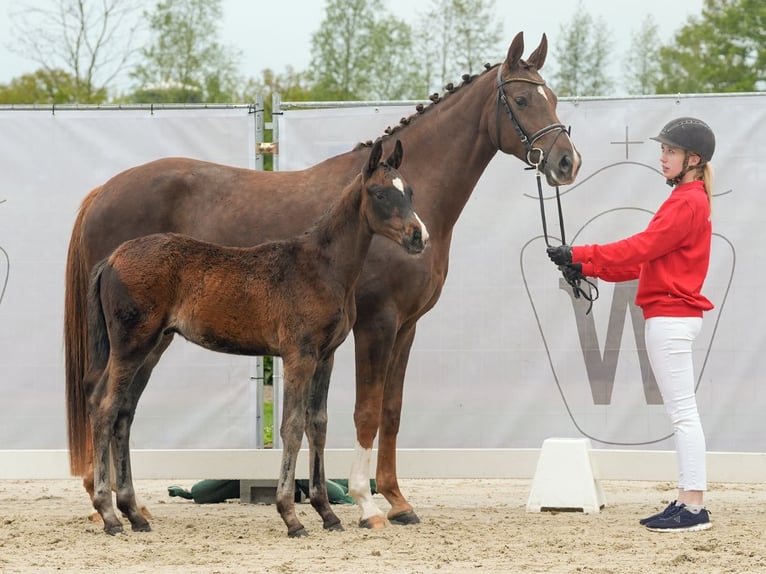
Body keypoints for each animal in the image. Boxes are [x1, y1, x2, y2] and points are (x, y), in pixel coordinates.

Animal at [66, 32, 584, 532]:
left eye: (554, 97)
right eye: (521, 99)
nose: (567, 162)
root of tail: (102, 192)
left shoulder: (406, 326)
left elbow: (390, 411)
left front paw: (397, 500)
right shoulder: (375, 324)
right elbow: (364, 411)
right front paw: (365, 503)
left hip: (155, 339)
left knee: (121, 406)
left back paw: (131, 507)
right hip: (135, 339)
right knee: (102, 397)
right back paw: (104, 505)